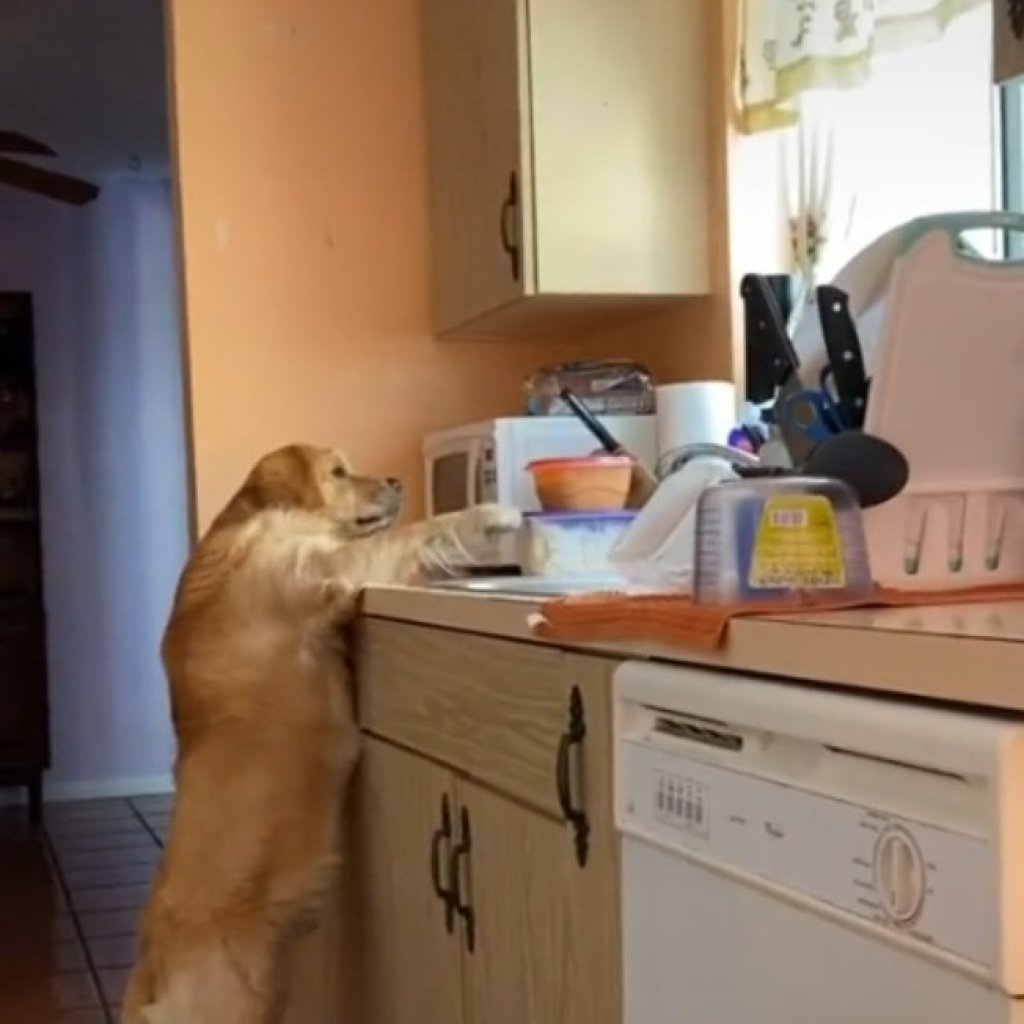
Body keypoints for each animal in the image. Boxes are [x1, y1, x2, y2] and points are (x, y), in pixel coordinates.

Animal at [119, 444, 520, 1024]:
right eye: (338, 472)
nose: (397, 481)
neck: (256, 524)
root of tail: (149, 967)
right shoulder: (322, 572)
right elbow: (412, 533)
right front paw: (490, 513)